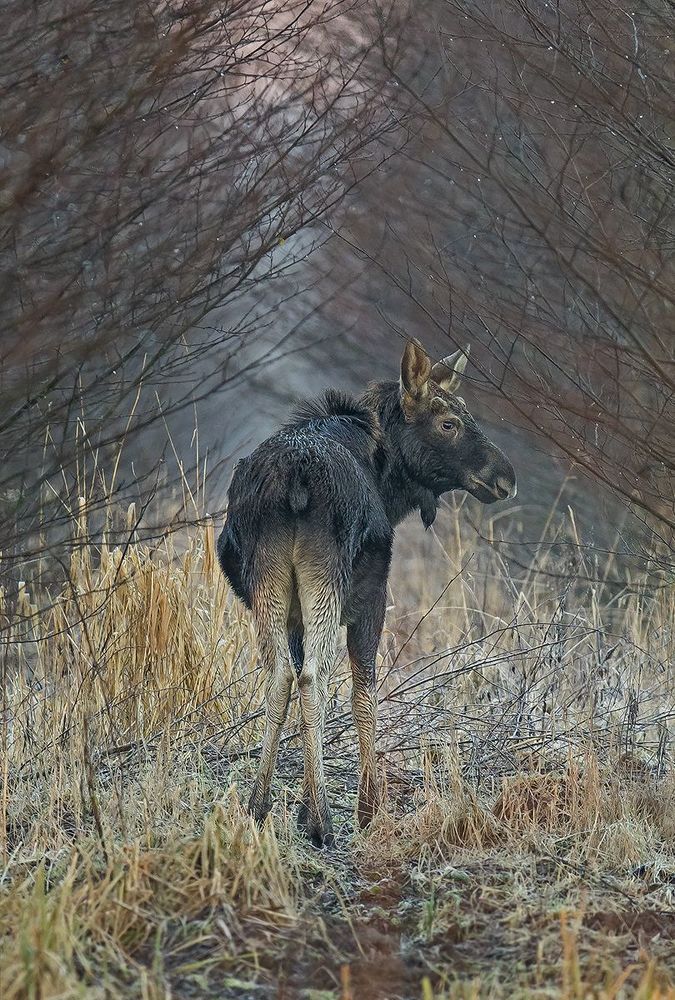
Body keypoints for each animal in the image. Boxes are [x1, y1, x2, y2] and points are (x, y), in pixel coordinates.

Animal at [218, 339, 516, 847]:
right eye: (449, 422)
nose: (506, 477)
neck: (387, 480)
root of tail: (295, 481)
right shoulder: (371, 599)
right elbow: (364, 695)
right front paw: (367, 809)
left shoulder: (295, 610)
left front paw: (301, 802)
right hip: (328, 576)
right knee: (313, 677)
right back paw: (322, 821)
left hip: (270, 579)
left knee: (280, 675)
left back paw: (258, 805)